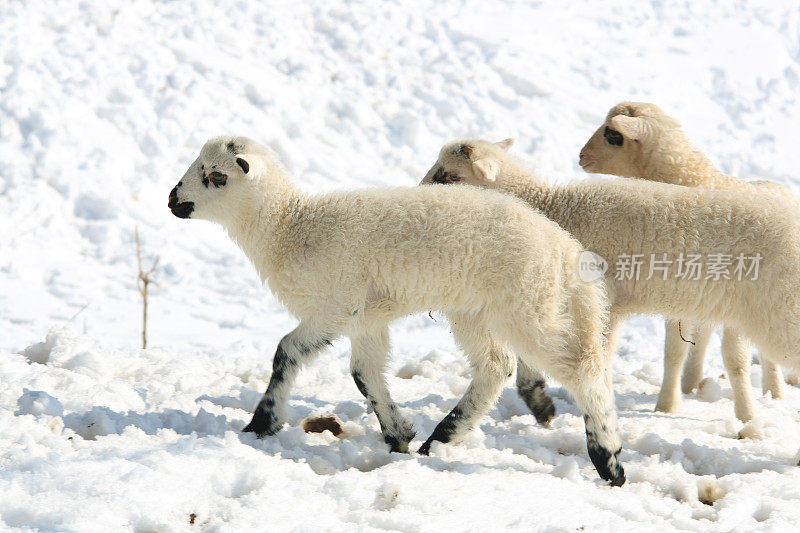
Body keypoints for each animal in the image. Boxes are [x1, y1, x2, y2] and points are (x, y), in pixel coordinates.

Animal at [169, 135, 628, 484]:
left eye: (216, 176)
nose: (173, 200)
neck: (291, 228)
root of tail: (563, 246)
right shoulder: (365, 319)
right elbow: (364, 375)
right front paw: (398, 434)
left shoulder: (335, 305)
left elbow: (287, 352)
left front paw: (261, 424)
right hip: (477, 311)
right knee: (497, 366)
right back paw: (440, 438)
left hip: (526, 305)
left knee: (582, 369)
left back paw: (608, 460)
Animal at [418, 139, 800, 430]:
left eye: (452, 175)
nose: (418, 199)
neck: (552, 207)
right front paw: (544, 402)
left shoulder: (593, 300)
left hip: (781, 309)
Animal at [580, 100, 800, 414]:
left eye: (612, 134)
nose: (581, 156)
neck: (692, 180)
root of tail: (775, 185)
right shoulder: (681, 296)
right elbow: (675, 352)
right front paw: (668, 404)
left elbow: (735, 360)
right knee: (706, 336)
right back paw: (692, 382)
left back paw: (774, 391)